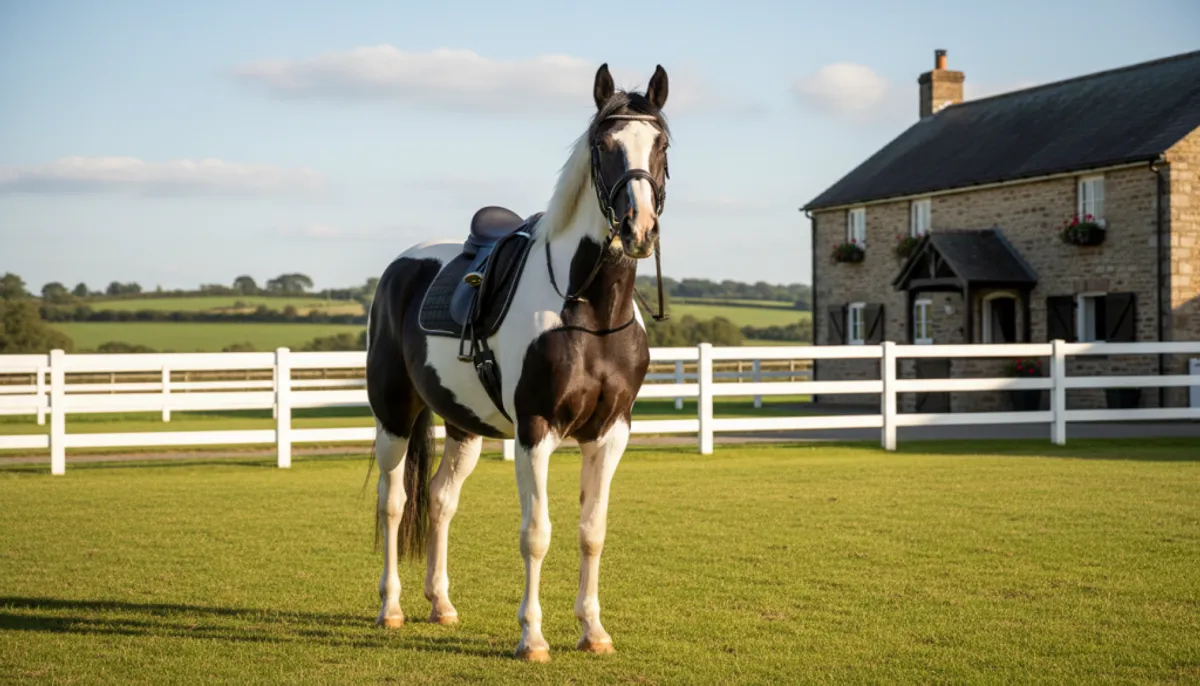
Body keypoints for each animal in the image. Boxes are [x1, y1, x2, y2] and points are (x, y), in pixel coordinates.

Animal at [364, 62, 671, 662]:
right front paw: (532, 637)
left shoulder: (610, 434)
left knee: (440, 500)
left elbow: (591, 531)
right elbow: (537, 534)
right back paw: (390, 608)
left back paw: (441, 604)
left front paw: (593, 631)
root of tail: (401, 265)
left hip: (462, 425)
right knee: (394, 502)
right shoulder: (535, 430)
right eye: (604, 146)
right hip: (392, 416)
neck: (592, 312)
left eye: (662, 145)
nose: (638, 228)